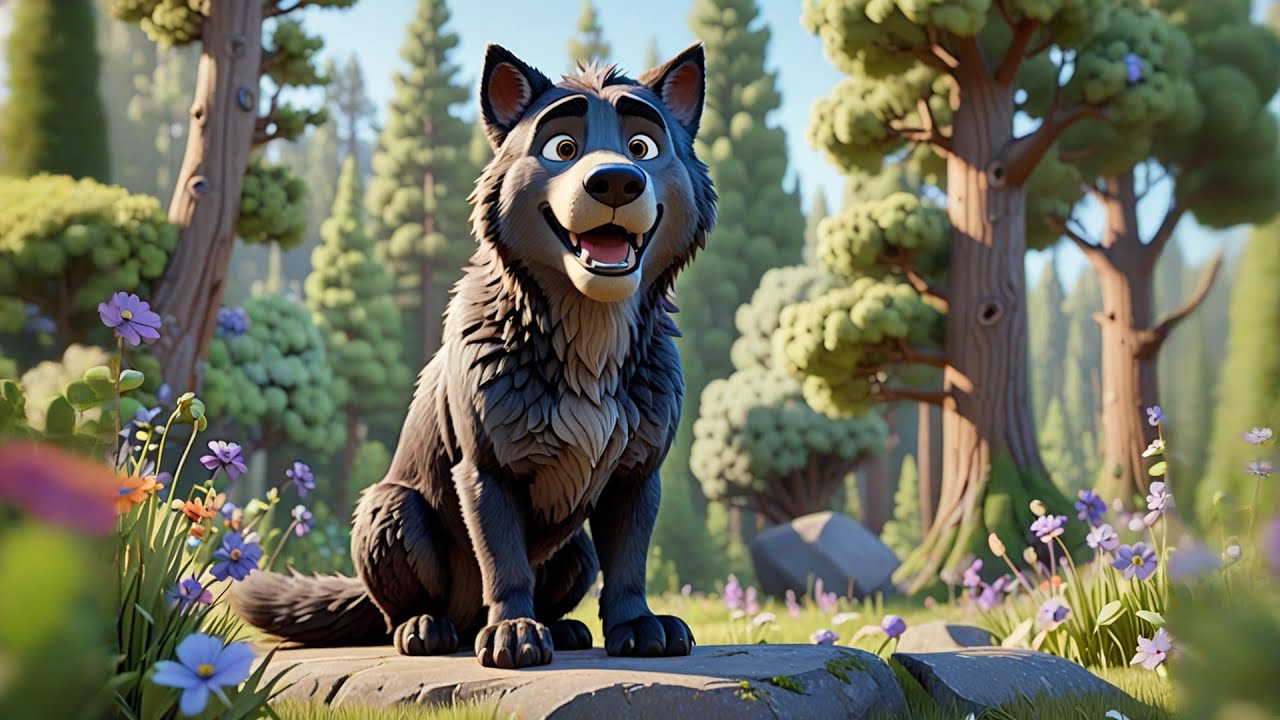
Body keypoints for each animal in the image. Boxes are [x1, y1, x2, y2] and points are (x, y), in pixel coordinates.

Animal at [234, 42, 716, 669]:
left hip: (576, 549)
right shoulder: (486, 468)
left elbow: (630, 560)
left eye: (643, 148)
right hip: (387, 510)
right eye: (563, 148)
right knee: (399, 607)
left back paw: (564, 628)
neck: (589, 337)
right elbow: (504, 560)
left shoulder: (638, 473)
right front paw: (513, 632)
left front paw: (638, 626)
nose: (615, 182)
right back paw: (425, 628)